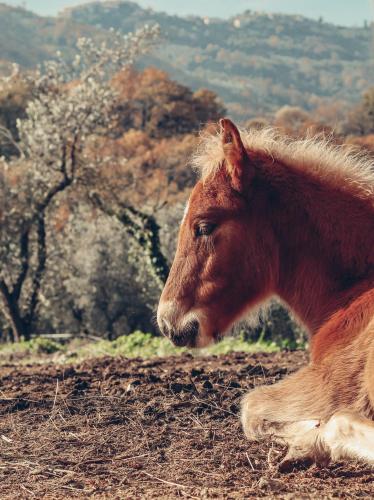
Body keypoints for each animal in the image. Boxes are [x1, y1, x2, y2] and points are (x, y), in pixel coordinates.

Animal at [156, 119, 374, 470]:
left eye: (204, 226)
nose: (167, 323)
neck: (355, 289)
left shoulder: (329, 383)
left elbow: (252, 408)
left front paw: (306, 435)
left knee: (341, 422)